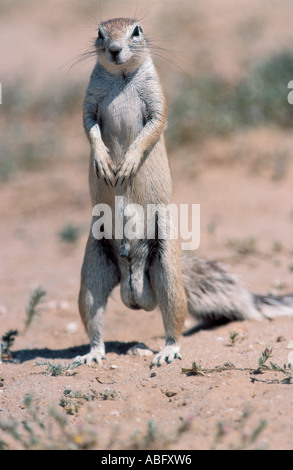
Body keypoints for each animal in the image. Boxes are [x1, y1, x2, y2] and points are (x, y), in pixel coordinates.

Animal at [74, 17, 292, 368]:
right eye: (99, 33)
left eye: (136, 31)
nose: (115, 49)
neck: (121, 78)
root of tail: (133, 280)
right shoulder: (89, 102)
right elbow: (89, 127)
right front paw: (104, 162)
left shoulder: (157, 101)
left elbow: (153, 127)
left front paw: (128, 162)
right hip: (93, 268)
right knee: (94, 318)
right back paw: (91, 354)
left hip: (167, 269)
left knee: (174, 319)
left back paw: (168, 351)